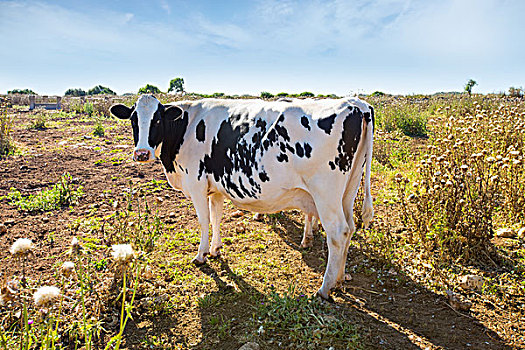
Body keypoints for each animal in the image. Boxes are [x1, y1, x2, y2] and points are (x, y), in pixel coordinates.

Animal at [110, 94, 372, 300]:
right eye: (133, 119)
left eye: (157, 119)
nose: (141, 153)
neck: (186, 126)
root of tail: (356, 103)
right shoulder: (214, 187)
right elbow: (216, 217)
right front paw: (215, 249)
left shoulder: (195, 183)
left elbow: (204, 221)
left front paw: (201, 255)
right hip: (348, 192)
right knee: (350, 228)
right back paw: (339, 278)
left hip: (326, 193)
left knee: (338, 233)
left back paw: (325, 288)